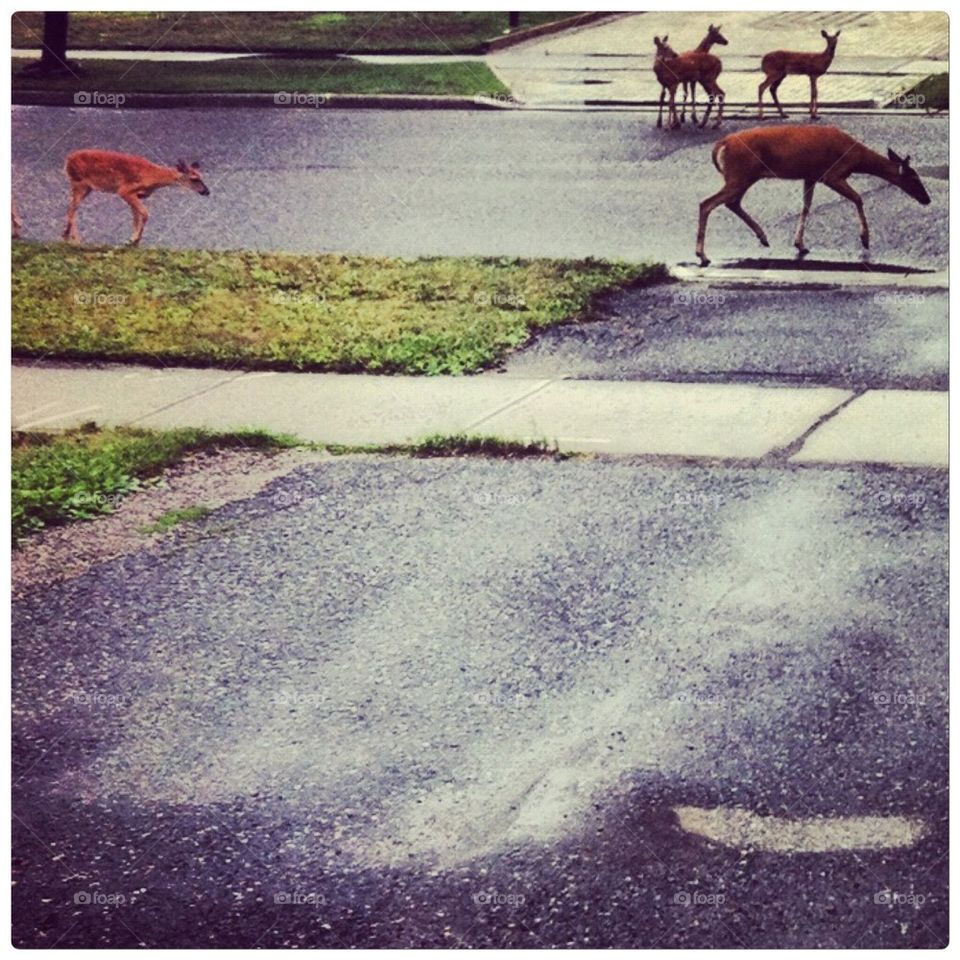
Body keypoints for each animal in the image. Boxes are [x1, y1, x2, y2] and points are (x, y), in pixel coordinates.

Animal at [62, 149, 210, 246]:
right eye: (194, 179)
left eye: (201, 176)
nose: (207, 191)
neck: (151, 176)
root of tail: (67, 160)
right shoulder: (124, 190)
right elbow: (145, 213)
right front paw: (134, 240)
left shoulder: (136, 195)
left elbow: (136, 216)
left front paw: (133, 239)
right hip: (79, 183)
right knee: (72, 208)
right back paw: (75, 239)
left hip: (87, 187)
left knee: (71, 207)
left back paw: (66, 235)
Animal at [695, 125, 931, 267]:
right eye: (914, 177)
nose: (927, 199)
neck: (857, 157)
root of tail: (720, 145)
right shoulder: (832, 174)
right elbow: (858, 198)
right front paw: (865, 239)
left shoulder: (810, 175)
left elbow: (806, 206)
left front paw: (800, 243)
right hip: (740, 174)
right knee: (707, 203)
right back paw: (703, 255)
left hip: (743, 176)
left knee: (731, 203)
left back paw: (763, 238)